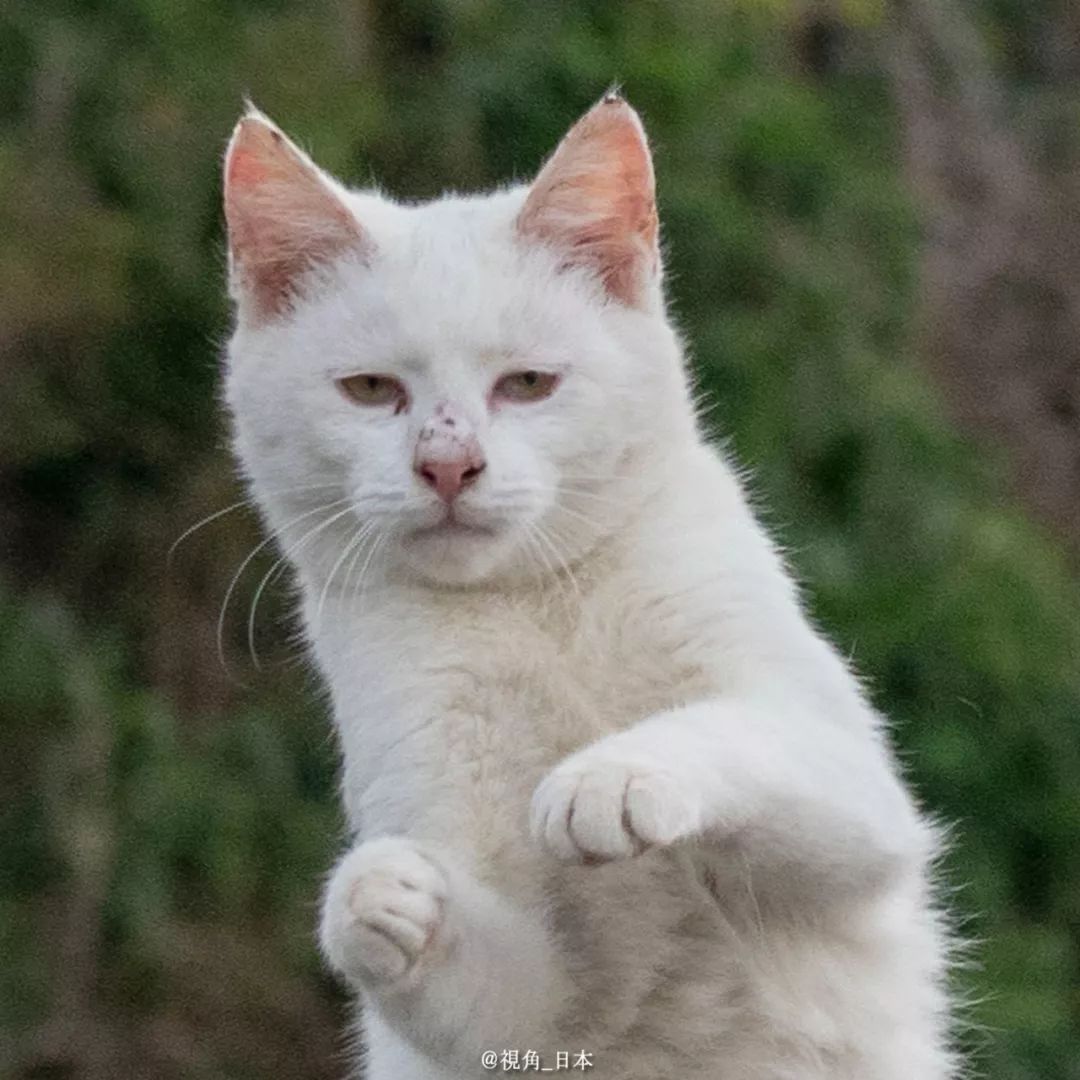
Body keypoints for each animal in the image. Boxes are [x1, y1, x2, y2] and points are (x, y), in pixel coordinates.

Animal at [219, 95, 954, 1080]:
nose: (447, 465)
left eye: (528, 383)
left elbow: (731, 727)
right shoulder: (540, 1014)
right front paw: (377, 899)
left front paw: (609, 777)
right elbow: (498, 990)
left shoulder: (860, 800)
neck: (533, 608)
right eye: (370, 389)